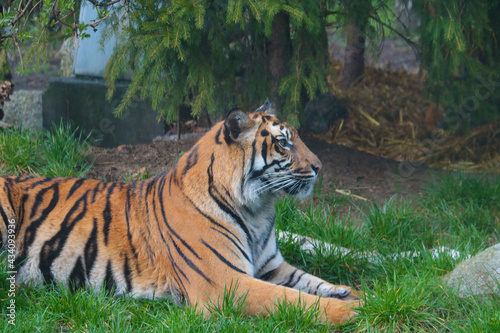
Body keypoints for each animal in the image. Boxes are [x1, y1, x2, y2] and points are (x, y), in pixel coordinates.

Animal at [0, 101, 362, 324]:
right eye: (284, 143)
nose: (319, 167)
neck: (258, 209)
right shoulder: (226, 283)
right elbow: (293, 299)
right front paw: (355, 310)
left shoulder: (270, 267)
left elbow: (311, 282)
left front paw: (355, 293)